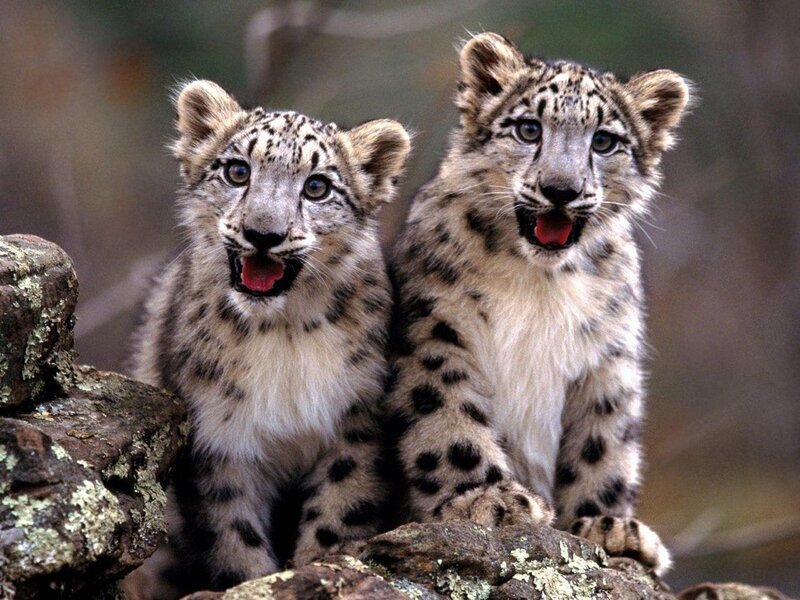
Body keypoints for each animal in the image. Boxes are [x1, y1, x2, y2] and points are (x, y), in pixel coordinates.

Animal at [127, 79, 410, 597]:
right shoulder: (219, 437)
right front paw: (255, 580)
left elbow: (339, 511)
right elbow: (233, 535)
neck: (283, 334)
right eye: (237, 171)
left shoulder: (355, 421)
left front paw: (321, 565)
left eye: (317, 186)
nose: (263, 233)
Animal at [385, 32, 693, 575]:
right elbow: (447, 415)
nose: (561, 189)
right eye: (529, 128)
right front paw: (488, 499)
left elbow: (602, 441)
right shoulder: (434, 330)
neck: (539, 283)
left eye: (604, 141)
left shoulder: (608, 355)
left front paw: (609, 526)